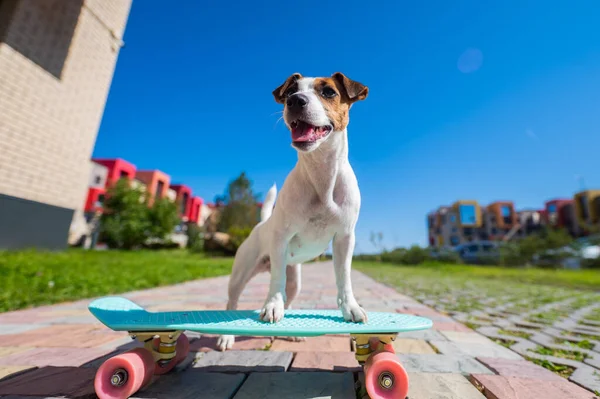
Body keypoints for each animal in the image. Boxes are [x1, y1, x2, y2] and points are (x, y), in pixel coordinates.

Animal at [218, 73, 368, 352]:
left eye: (329, 92)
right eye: (290, 92)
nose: (295, 100)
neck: (321, 175)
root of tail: (261, 224)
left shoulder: (344, 238)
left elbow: (344, 277)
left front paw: (350, 308)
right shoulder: (281, 238)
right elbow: (275, 282)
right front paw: (271, 305)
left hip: (295, 279)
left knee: (289, 297)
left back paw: (292, 333)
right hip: (241, 273)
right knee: (233, 301)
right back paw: (226, 336)